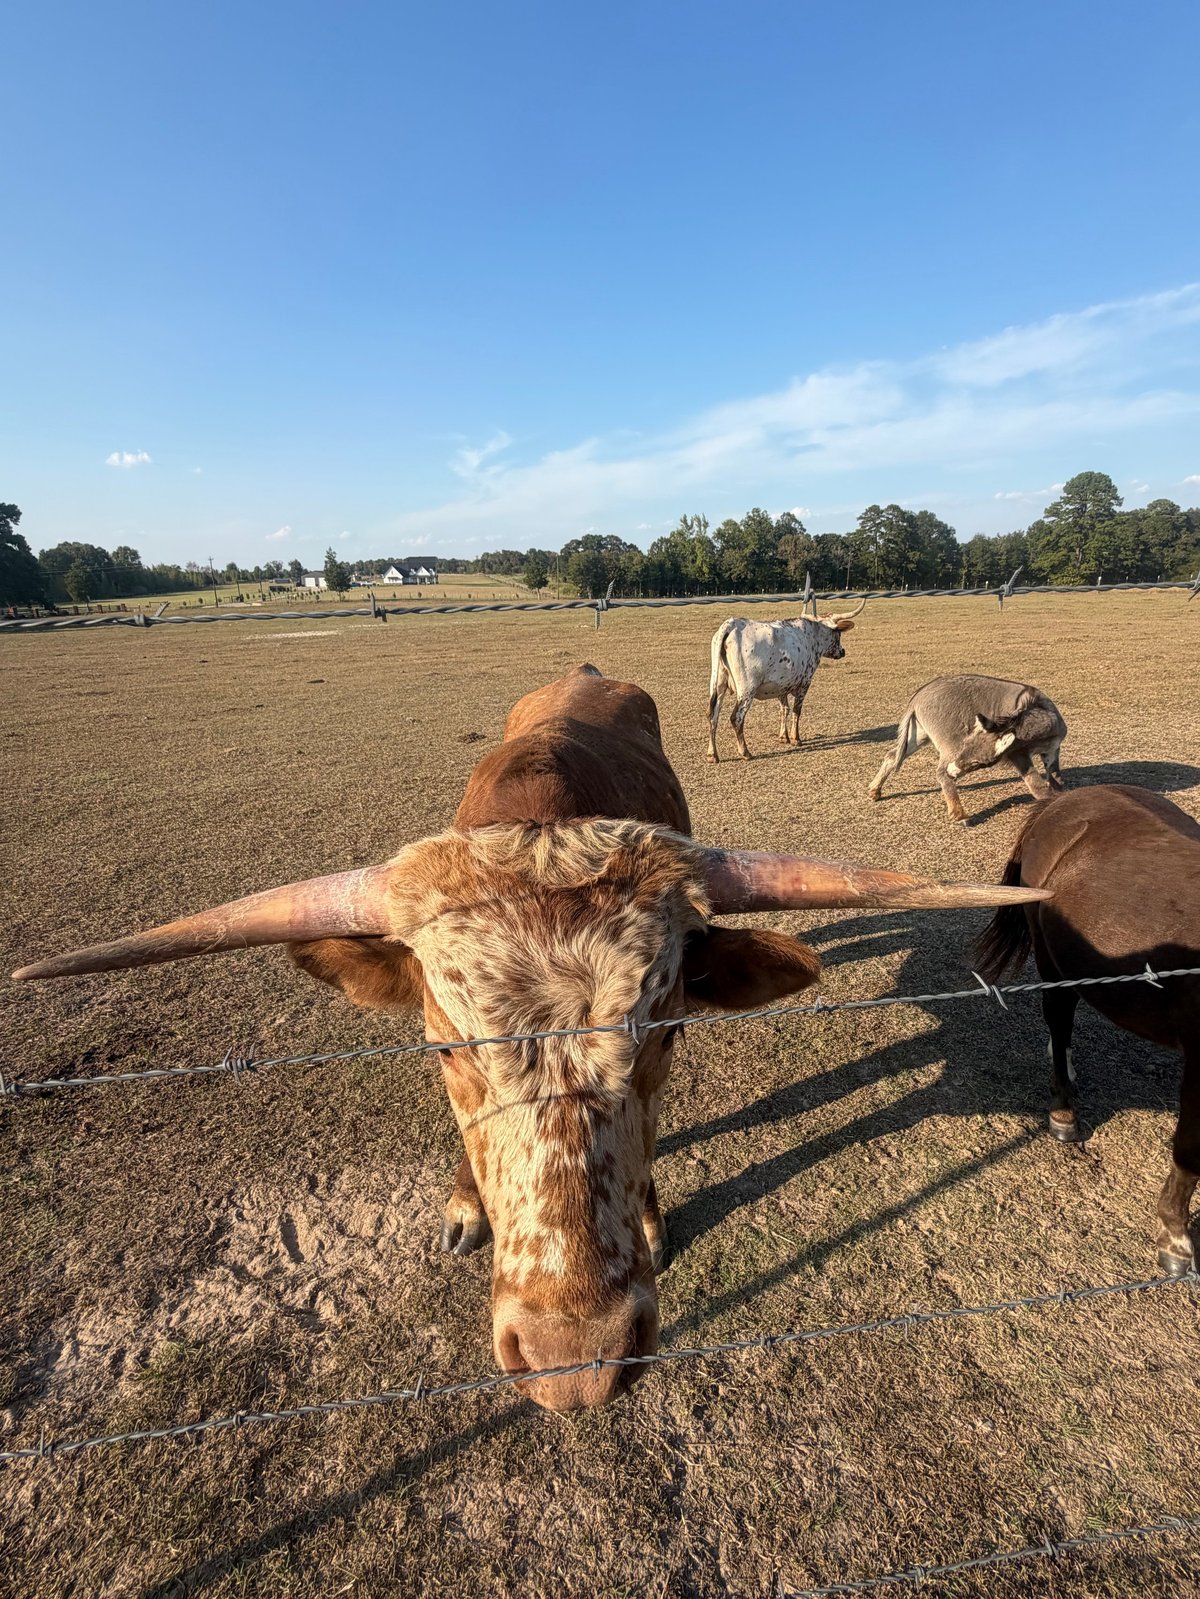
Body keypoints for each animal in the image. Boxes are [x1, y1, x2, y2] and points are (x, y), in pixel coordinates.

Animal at [706, 601, 866, 762]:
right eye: (838, 634)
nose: (842, 651)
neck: (812, 636)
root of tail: (731, 624)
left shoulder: (780, 686)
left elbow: (784, 709)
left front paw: (784, 736)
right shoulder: (805, 683)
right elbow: (796, 710)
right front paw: (796, 738)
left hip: (718, 684)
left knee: (713, 715)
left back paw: (712, 754)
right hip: (747, 689)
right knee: (736, 718)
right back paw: (744, 752)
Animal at [868, 674, 1067, 825]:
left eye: (977, 763)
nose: (953, 771)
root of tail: (920, 693)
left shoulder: (1052, 750)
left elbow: (1055, 774)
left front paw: (1060, 793)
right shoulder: (1017, 755)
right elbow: (1036, 784)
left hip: (919, 735)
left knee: (892, 756)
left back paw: (875, 790)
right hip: (948, 743)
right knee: (940, 773)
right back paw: (959, 814)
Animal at [975, 784, 1200, 1278]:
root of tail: (1065, 800)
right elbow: (1190, 1150)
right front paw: (1175, 1236)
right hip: (1053, 966)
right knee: (1060, 1025)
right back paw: (1064, 1112)